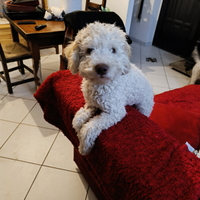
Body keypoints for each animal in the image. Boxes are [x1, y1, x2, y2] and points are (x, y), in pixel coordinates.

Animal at [65, 22, 154, 156]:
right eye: (89, 50)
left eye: (113, 50)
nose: (102, 68)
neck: (100, 85)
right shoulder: (91, 104)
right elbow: (77, 120)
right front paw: (78, 129)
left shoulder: (115, 112)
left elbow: (89, 128)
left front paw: (84, 147)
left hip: (144, 107)